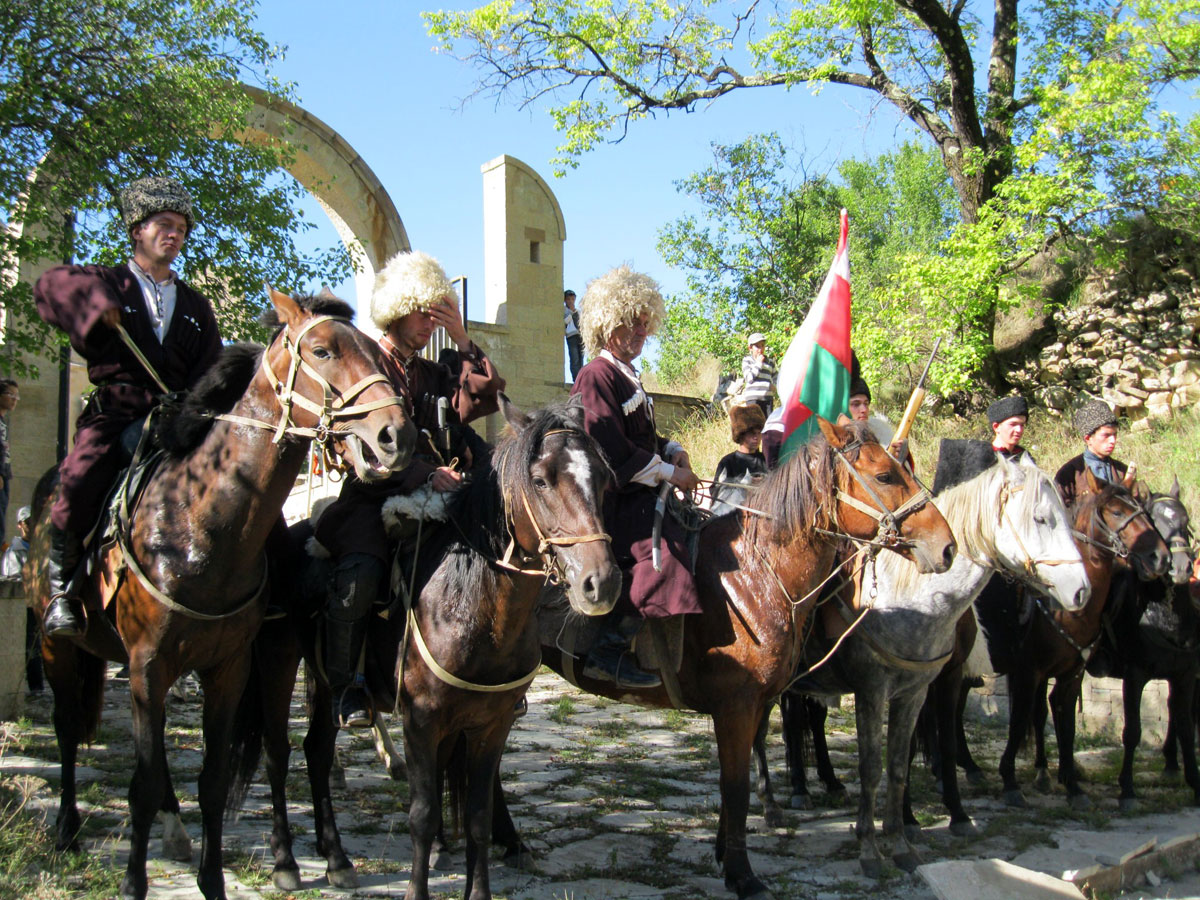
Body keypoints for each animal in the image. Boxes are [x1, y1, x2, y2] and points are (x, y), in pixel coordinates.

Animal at [28, 290, 415, 900]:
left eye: (377, 353)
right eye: (323, 351)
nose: (396, 436)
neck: (197, 521)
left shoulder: (228, 666)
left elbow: (213, 778)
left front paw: (213, 880)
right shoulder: (148, 665)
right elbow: (144, 781)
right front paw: (134, 882)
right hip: (60, 646)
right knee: (70, 728)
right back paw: (68, 829)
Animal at [226, 398, 619, 897]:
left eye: (603, 479)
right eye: (541, 480)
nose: (600, 583)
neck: (472, 603)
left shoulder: (491, 726)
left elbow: (477, 817)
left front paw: (480, 887)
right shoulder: (421, 721)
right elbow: (424, 816)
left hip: (325, 681)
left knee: (317, 750)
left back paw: (336, 857)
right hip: (277, 660)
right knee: (278, 752)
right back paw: (286, 862)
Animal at [530, 420, 960, 897]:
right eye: (884, 475)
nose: (946, 547)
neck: (755, 575)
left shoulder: (757, 705)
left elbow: (736, 782)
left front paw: (725, 854)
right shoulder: (736, 707)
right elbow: (736, 786)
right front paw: (743, 874)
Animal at [768, 448, 1099, 873]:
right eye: (1041, 518)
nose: (1081, 592)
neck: (907, 594)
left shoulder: (918, 690)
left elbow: (901, 763)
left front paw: (904, 838)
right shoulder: (872, 690)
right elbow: (872, 766)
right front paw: (870, 847)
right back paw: (787, 797)